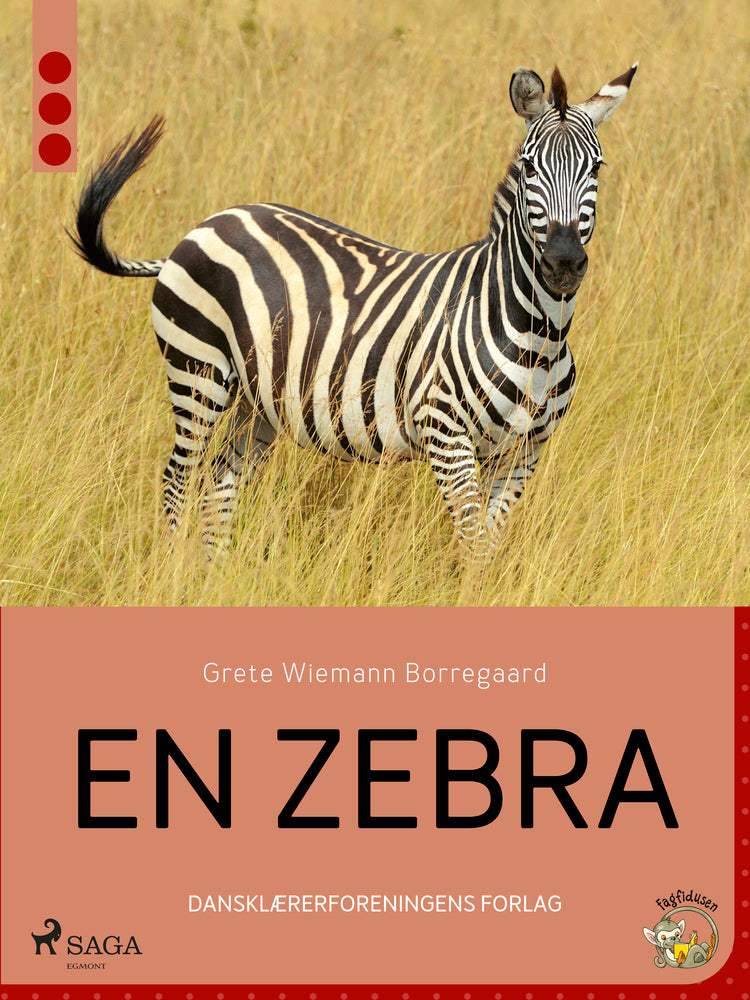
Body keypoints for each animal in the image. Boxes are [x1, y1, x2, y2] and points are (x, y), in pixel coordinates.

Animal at [70, 63, 636, 557]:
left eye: (597, 167)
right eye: (528, 167)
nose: (563, 264)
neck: (538, 334)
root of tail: (207, 223)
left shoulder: (523, 454)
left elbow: (487, 546)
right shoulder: (445, 432)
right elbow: (473, 542)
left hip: (257, 403)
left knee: (218, 489)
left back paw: (215, 578)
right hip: (197, 373)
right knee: (176, 480)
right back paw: (175, 575)